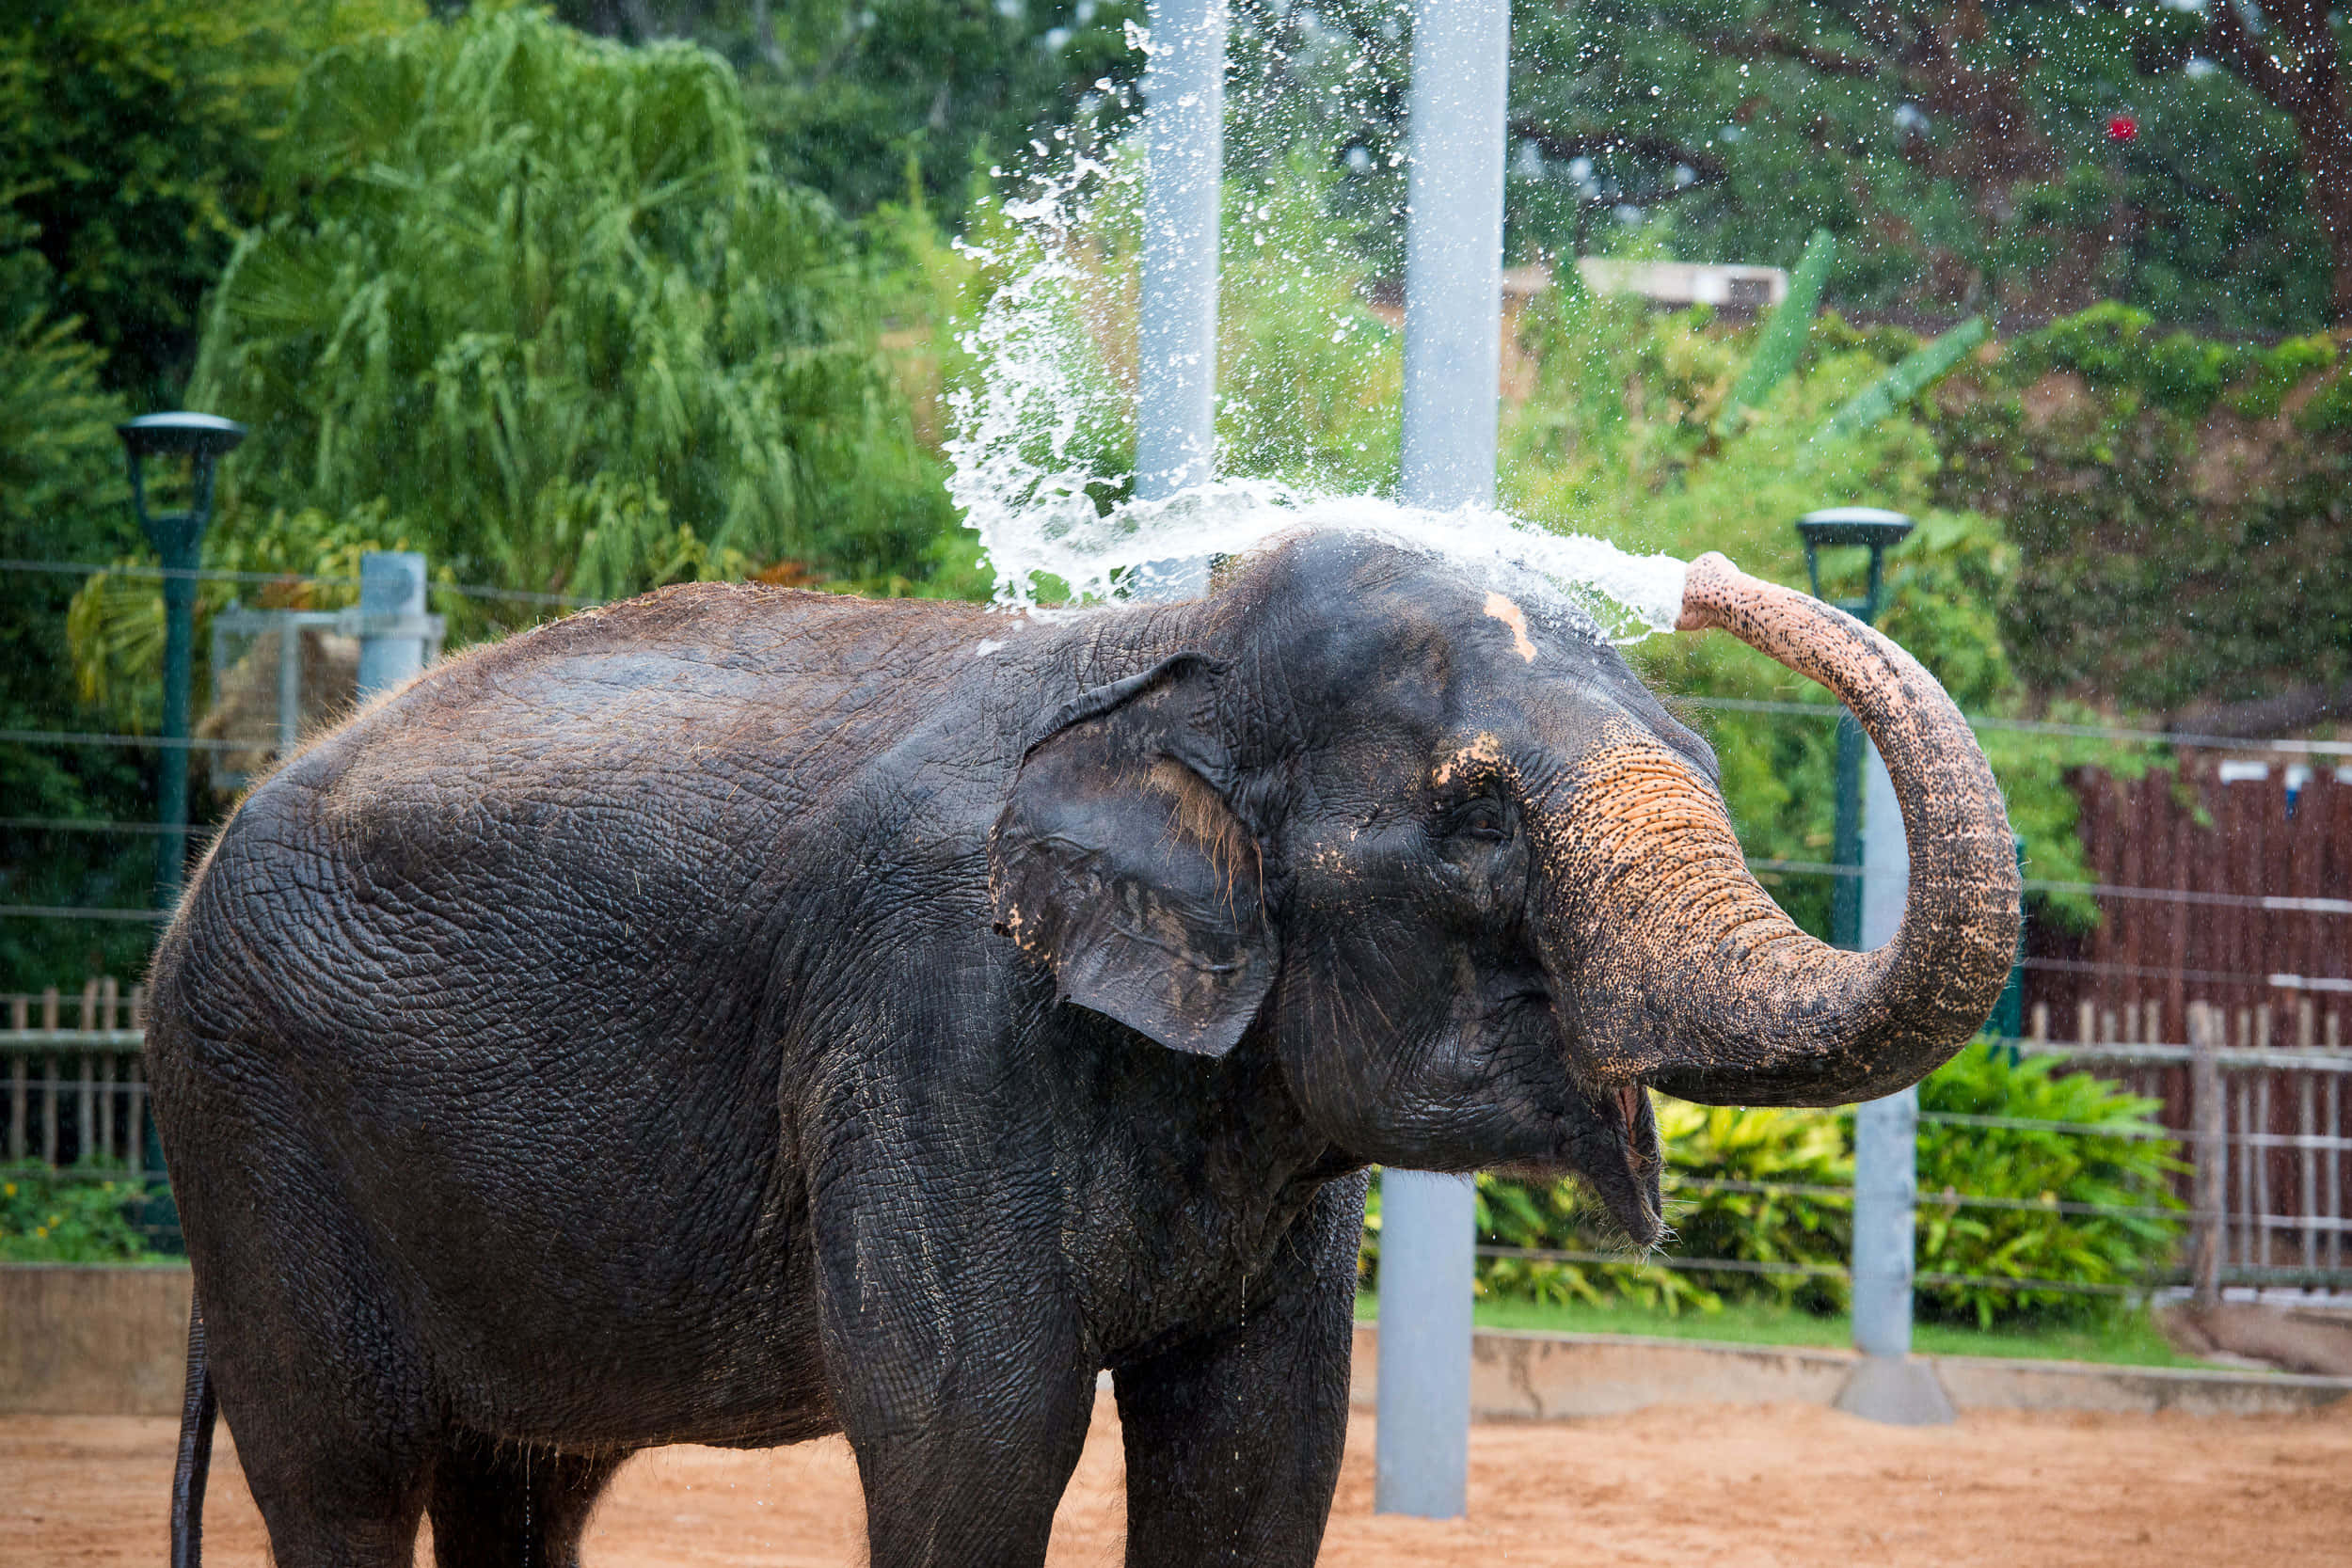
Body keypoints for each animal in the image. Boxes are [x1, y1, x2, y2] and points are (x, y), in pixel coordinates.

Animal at [147, 531, 2018, 1568]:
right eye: (1478, 813)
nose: (1706, 577)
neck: (1165, 651)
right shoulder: (928, 1019)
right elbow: (977, 1448)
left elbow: (1259, 1468)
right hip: (251, 1127)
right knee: (342, 1478)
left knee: (530, 1483)